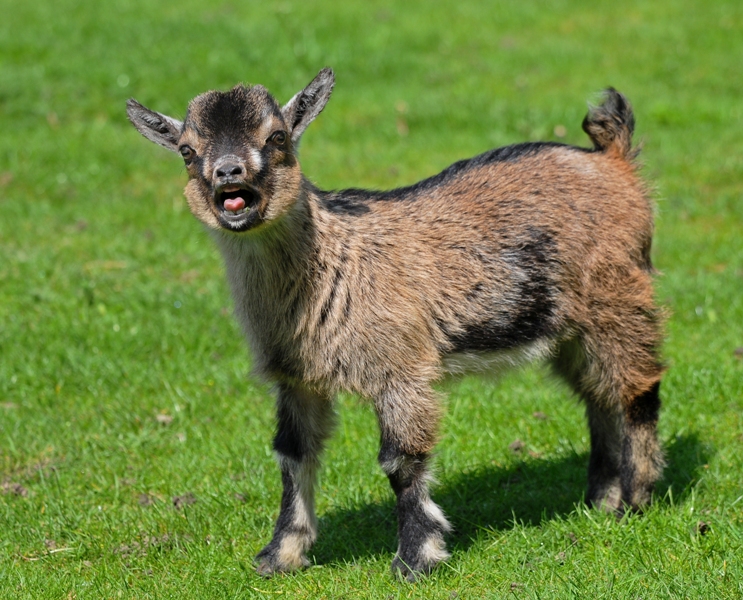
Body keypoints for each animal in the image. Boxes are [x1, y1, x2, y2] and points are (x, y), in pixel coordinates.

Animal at [125, 69, 664, 580]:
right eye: (187, 150)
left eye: (277, 136)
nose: (228, 172)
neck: (335, 263)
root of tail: (614, 160)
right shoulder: (296, 378)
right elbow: (292, 455)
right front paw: (280, 555)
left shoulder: (401, 369)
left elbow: (401, 461)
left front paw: (416, 558)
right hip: (572, 330)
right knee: (598, 395)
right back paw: (600, 499)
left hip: (618, 296)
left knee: (638, 387)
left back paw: (636, 501)